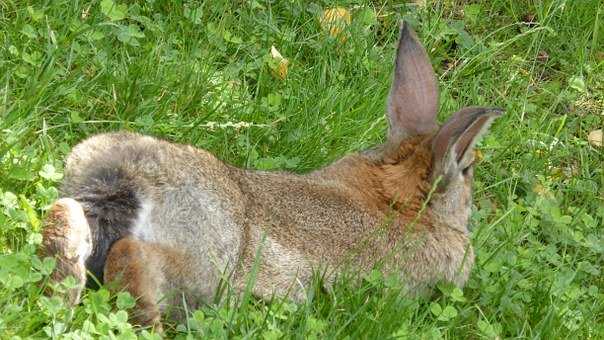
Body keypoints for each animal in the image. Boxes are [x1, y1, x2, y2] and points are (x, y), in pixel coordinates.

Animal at [36, 22, 500, 330]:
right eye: (467, 170)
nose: (469, 212)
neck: (397, 198)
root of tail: (133, 177)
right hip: (208, 261)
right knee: (133, 257)